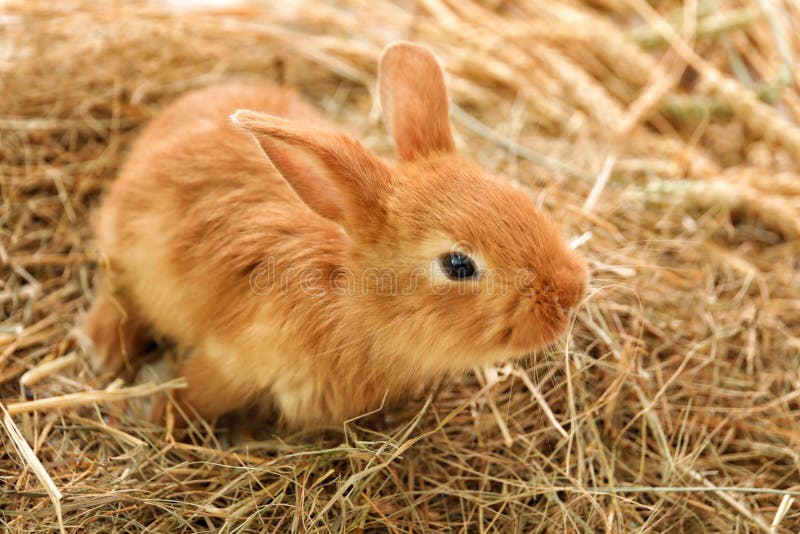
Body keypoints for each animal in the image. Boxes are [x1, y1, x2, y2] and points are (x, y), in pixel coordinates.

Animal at [81, 43, 588, 432]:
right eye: (458, 264)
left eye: (519, 197)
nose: (570, 294)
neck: (350, 299)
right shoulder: (234, 361)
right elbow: (196, 389)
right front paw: (162, 418)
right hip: (129, 253)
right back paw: (105, 350)